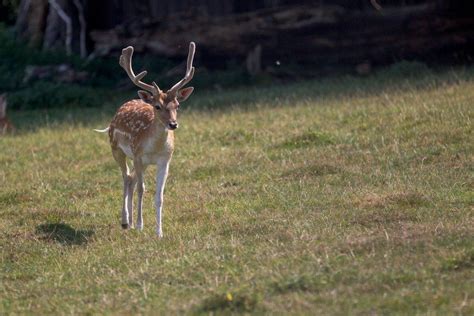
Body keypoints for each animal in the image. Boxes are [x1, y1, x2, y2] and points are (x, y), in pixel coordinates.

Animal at [95, 42, 195, 237]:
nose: (173, 124)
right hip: (116, 149)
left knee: (131, 179)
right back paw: (126, 222)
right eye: (157, 106)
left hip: (141, 161)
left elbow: (159, 196)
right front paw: (141, 226)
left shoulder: (165, 160)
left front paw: (159, 232)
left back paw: (130, 222)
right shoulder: (138, 155)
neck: (155, 147)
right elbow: (142, 189)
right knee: (126, 177)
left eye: (177, 105)